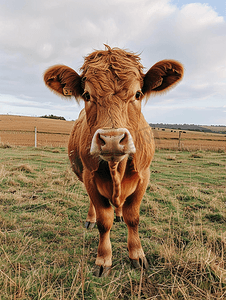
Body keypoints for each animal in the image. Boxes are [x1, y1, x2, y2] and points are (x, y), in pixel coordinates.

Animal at [43, 45, 183, 278]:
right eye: (87, 95)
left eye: (137, 94)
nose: (112, 140)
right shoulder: (90, 177)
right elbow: (104, 221)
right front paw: (103, 259)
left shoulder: (144, 176)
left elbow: (133, 217)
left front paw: (137, 254)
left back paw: (119, 214)